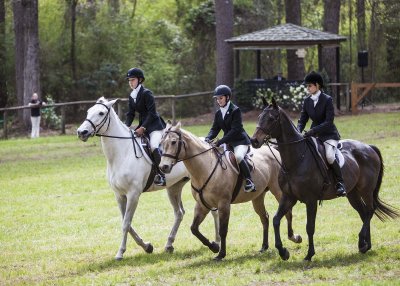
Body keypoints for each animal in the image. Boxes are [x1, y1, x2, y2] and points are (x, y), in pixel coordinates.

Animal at [76, 97, 220, 260]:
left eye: (101, 113)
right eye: (88, 111)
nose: (81, 132)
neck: (121, 154)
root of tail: (206, 142)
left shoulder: (133, 194)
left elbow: (126, 224)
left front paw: (120, 252)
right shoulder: (119, 195)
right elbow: (127, 223)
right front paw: (147, 246)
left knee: (213, 211)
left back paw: (217, 241)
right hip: (174, 187)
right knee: (179, 213)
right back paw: (169, 244)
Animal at [159, 122, 304, 260]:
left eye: (173, 142)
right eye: (161, 143)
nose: (163, 167)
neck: (206, 167)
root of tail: (275, 151)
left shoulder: (223, 204)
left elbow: (223, 230)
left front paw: (221, 254)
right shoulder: (202, 205)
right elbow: (194, 229)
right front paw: (214, 246)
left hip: (278, 191)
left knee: (287, 213)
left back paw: (294, 237)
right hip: (257, 197)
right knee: (265, 217)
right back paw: (264, 246)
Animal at [252, 99, 398, 262]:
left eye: (271, 119)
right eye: (259, 117)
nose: (254, 141)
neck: (296, 160)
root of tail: (369, 147)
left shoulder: (311, 200)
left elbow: (310, 227)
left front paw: (309, 254)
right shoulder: (288, 197)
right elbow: (276, 220)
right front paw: (283, 252)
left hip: (366, 190)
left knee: (370, 211)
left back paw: (362, 242)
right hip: (352, 193)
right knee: (364, 213)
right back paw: (366, 245)